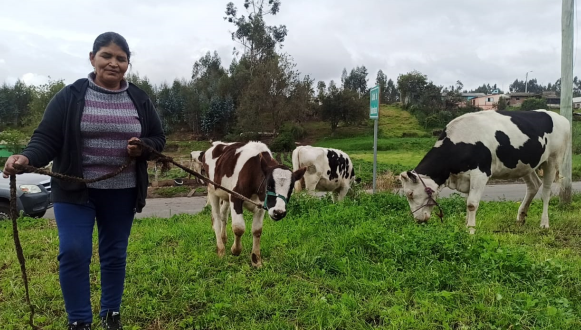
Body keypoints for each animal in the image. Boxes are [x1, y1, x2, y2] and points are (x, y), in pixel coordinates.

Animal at [396, 109, 568, 233]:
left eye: (410, 194)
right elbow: (467, 202)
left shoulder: (480, 174)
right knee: (533, 185)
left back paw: (544, 224)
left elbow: (472, 204)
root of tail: (560, 118)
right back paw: (520, 218)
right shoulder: (466, 177)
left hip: (553, 159)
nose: (418, 219)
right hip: (525, 165)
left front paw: (471, 231)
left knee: (546, 192)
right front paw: (466, 226)